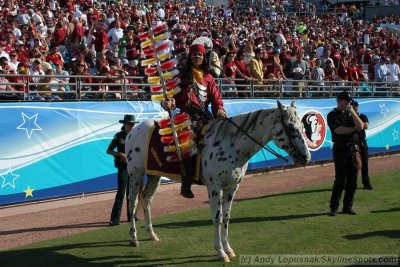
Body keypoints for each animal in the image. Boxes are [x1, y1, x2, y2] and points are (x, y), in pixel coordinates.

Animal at [125, 101, 310, 264]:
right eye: (291, 127)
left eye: (302, 127)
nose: (306, 157)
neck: (232, 144)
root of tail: (134, 131)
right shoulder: (215, 187)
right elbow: (217, 217)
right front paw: (220, 252)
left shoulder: (232, 187)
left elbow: (226, 217)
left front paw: (228, 249)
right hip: (135, 175)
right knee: (133, 204)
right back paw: (134, 238)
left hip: (154, 176)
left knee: (147, 200)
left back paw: (151, 234)